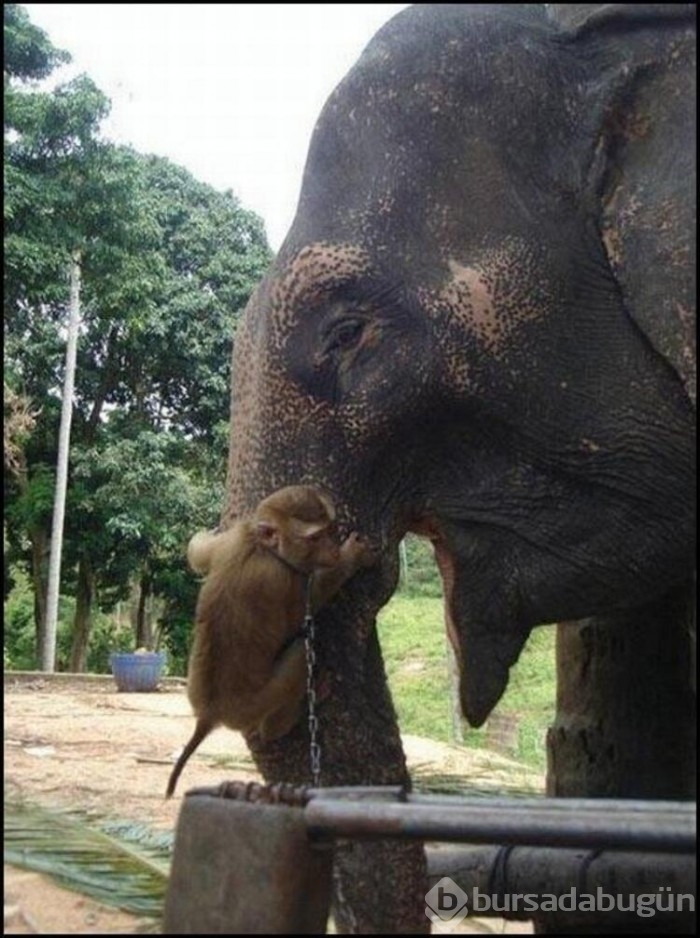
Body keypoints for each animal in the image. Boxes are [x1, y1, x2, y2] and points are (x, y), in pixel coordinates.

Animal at [165, 482, 378, 796]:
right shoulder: (282, 577)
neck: (261, 547)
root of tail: (210, 714)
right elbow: (305, 610)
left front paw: (205, 534)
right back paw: (285, 720)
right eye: (316, 537)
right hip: (253, 706)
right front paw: (351, 557)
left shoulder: (233, 540)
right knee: (301, 650)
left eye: (330, 530)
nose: (332, 550)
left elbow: (198, 555)